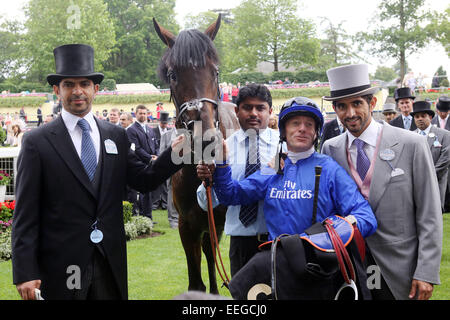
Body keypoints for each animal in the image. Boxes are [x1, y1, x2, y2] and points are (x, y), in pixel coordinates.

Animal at [153, 16, 241, 294]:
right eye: (173, 74)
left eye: (215, 71)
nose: (206, 139)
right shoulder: (187, 225)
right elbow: (195, 281)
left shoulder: (218, 220)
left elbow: (212, 257)